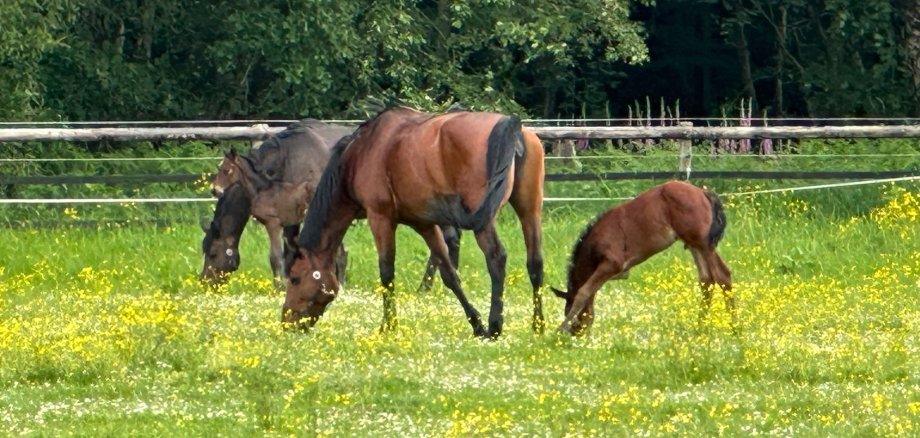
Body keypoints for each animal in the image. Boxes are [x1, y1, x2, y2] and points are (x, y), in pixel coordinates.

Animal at [286, 107, 532, 338]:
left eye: (295, 279)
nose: (286, 323)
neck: (360, 154)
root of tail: (510, 123)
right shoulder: (424, 224)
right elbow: (449, 274)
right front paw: (476, 325)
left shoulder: (380, 218)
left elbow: (387, 274)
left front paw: (388, 326)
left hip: (483, 222)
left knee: (496, 257)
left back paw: (496, 324)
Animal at [552, 181, 732, 336]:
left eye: (568, 311)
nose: (576, 334)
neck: (595, 243)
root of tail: (703, 192)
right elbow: (591, 292)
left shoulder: (612, 264)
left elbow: (584, 292)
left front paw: (558, 331)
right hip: (694, 244)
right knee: (706, 280)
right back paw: (699, 328)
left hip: (703, 243)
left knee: (722, 275)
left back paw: (734, 327)